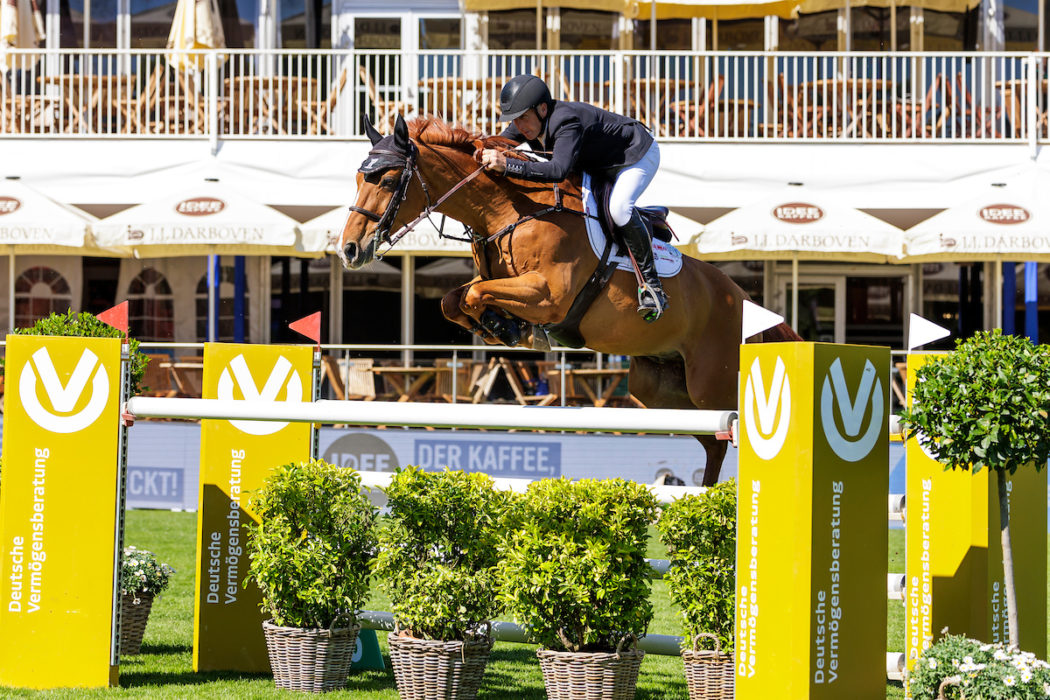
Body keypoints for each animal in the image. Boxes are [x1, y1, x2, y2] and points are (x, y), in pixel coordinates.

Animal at [340, 114, 797, 486]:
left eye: (386, 181)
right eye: (358, 180)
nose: (349, 250)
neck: (508, 210)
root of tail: (742, 298)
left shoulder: (547, 296)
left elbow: (473, 294)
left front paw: (510, 328)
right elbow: (455, 300)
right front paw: (501, 327)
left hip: (711, 383)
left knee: (731, 431)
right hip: (660, 391)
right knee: (714, 442)